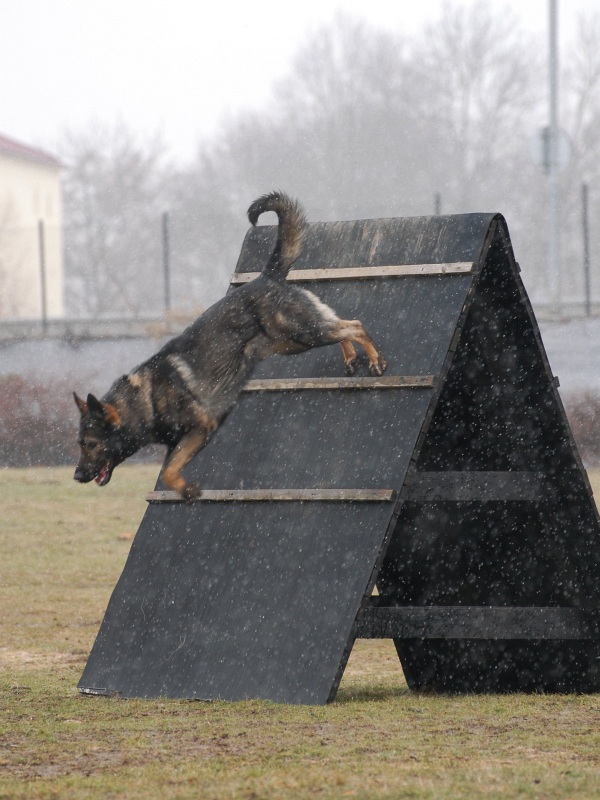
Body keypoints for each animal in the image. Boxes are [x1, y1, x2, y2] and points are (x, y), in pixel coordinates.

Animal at [72, 190, 386, 496]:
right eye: (80, 444)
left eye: (91, 444)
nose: (77, 476)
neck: (145, 401)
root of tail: (266, 277)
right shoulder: (180, 440)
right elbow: (168, 469)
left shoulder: (202, 427)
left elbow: (170, 472)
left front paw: (188, 490)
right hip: (294, 341)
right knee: (342, 324)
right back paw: (351, 359)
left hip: (302, 333)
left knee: (355, 326)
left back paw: (375, 361)